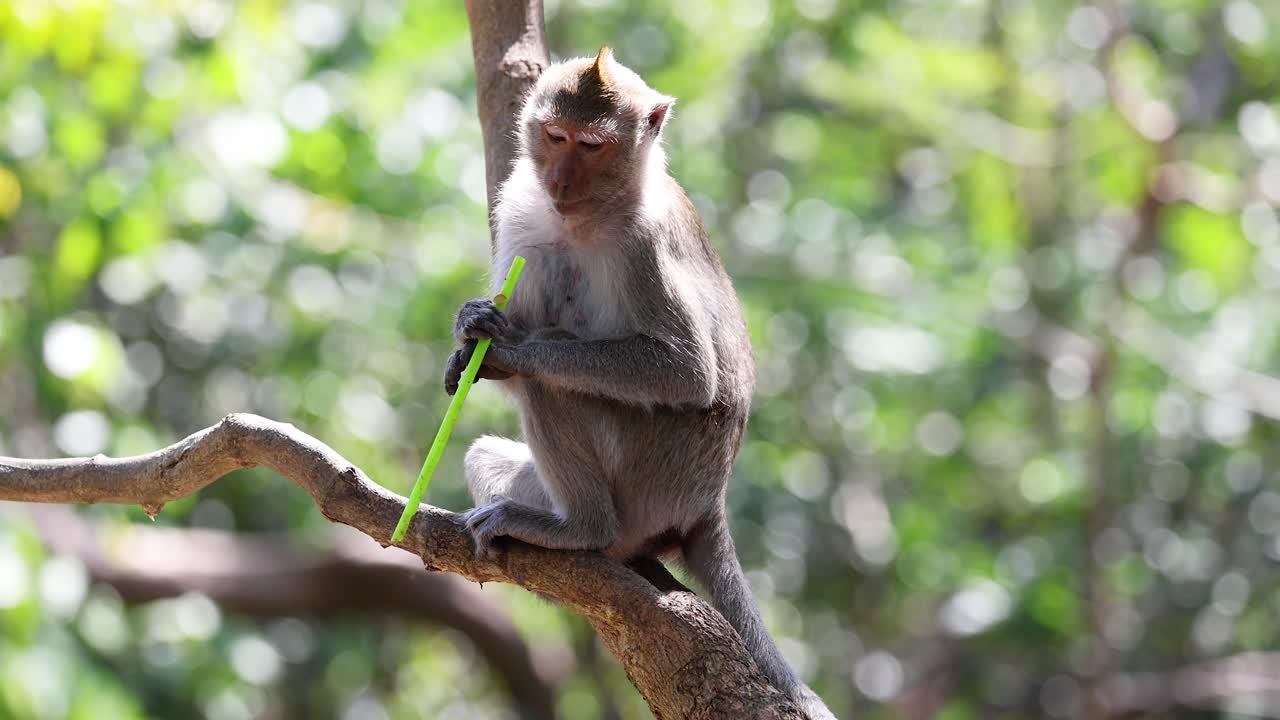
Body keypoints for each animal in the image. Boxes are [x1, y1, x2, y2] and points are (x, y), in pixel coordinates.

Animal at [443, 48, 836, 720]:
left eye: (593, 145)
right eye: (556, 137)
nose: (561, 182)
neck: (590, 214)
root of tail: (708, 500)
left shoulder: (644, 244)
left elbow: (686, 371)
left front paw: (513, 346)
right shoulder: (521, 209)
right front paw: (471, 334)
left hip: (652, 474)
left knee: (556, 386)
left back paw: (581, 530)